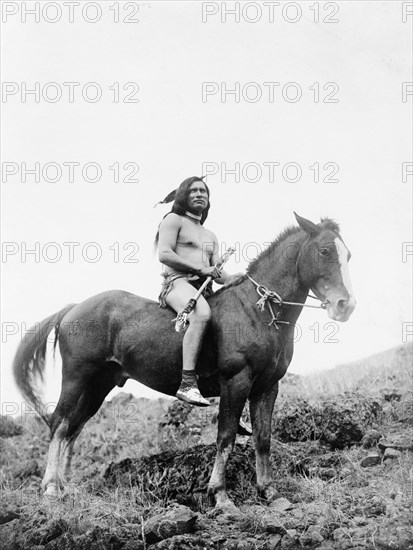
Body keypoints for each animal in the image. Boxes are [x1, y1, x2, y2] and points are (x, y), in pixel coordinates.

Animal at [12, 213, 354, 512]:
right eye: (324, 250)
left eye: (347, 254)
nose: (345, 305)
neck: (256, 311)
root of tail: (74, 308)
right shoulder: (236, 382)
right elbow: (226, 438)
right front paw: (220, 495)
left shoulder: (267, 387)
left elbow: (263, 439)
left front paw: (268, 492)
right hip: (76, 377)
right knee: (59, 424)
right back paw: (50, 488)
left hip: (99, 385)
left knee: (74, 428)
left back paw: (65, 486)